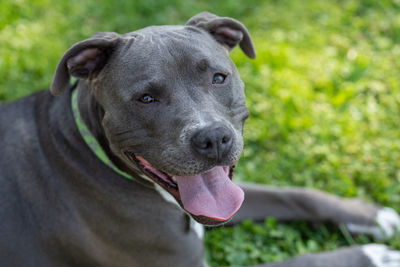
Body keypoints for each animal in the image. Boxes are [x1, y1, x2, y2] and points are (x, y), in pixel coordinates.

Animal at [0, 12, 400, 267]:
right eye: (146, 98)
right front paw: (378, 255)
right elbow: (303, 263)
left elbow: (293, 195)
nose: (213, 138)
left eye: (219, 78)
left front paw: (371, 215)